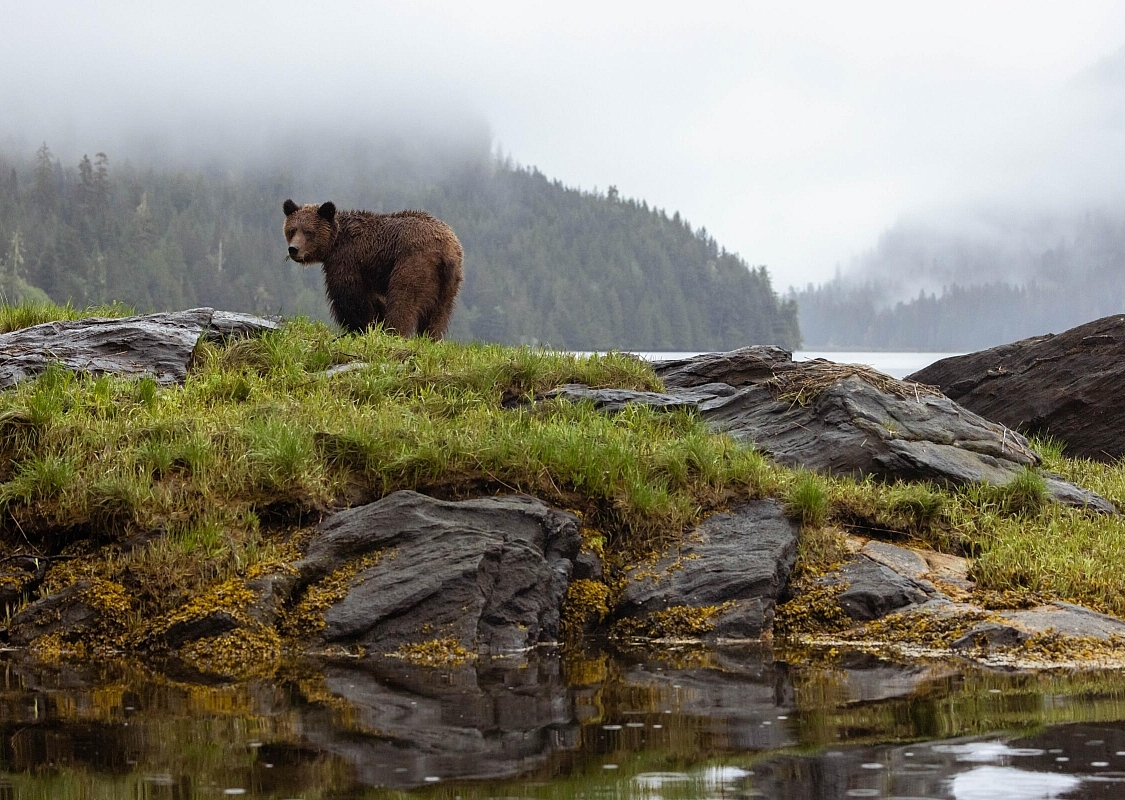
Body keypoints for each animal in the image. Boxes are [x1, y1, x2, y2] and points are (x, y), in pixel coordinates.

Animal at [283, 199, 464, 339]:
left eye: (308, 232)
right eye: (292, 230)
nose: (293, 249)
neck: (334, 243)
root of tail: (446, 250)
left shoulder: (348, 260)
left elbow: (350, 297)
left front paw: (358, 328)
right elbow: (374, 300)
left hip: (414, 263)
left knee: (403, 301)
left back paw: (394, 333)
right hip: (449, 281)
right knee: (439, 313)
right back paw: (430, 338)